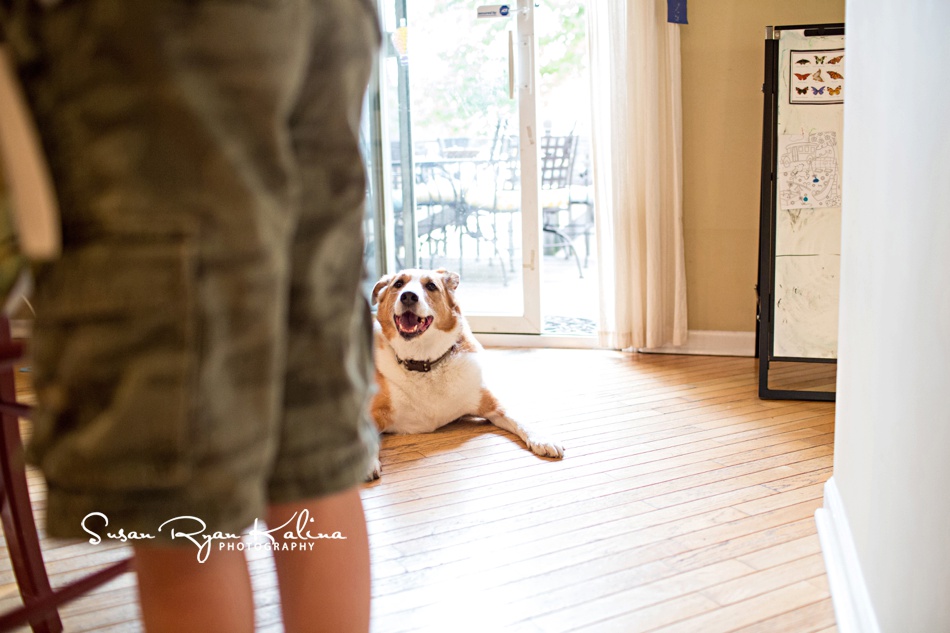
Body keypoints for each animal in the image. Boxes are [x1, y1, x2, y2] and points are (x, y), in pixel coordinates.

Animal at [368, 268, 564, 478]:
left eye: (431, 286)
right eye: (398, 284)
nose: (408, 296)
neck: (424, 363)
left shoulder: (492, 404)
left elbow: (518, 419)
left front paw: (542, 438)